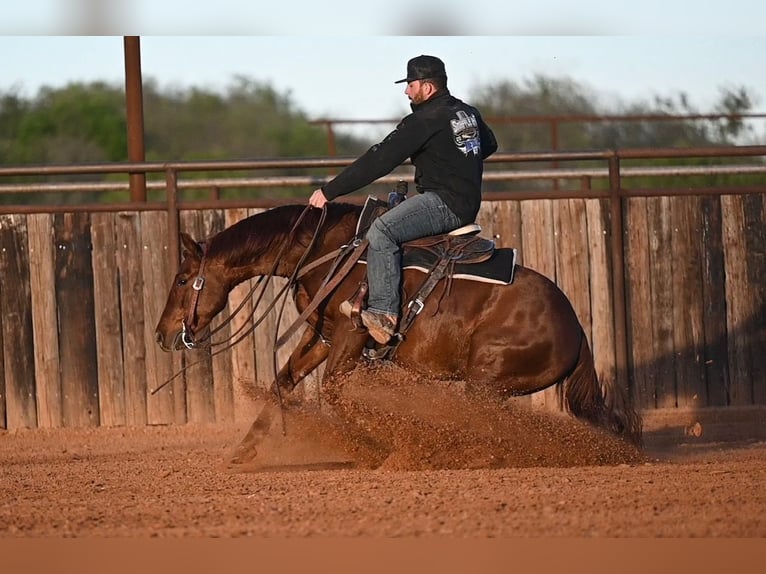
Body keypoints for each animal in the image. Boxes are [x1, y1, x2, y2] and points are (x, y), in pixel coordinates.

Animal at [154, 202, 643, 449]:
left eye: (181, 279)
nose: (162, 334)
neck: (328, 251)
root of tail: (576, 329)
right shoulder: (321, 336)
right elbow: (282, 384)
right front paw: (243, 452)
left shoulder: (351, 337)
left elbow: (333, 393)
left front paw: (374, 444)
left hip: (486, 380)